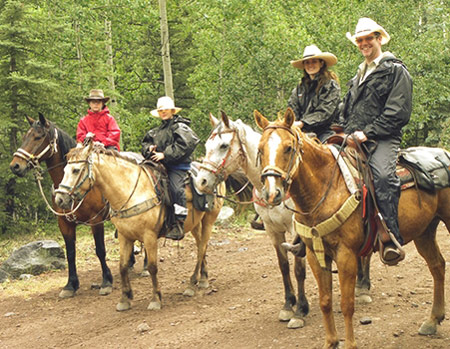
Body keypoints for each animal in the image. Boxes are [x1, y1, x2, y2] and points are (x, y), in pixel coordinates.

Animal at [9, 113, 113, 296]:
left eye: (38, 137)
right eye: (24, 137)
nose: (15, 166)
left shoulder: (96, 220)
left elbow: (100, 249)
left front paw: (106, 281)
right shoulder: (64, 223)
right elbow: (70, 253)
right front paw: (70, 285)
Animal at [54, 140, 227, 308]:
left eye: (76, 170)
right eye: (64, 170)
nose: (60, 199)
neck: (131, 192)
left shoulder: (149, 236)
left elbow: (152, 267)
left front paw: (156, 299)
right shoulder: (124, 236)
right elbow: (123, 266)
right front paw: (125, 299)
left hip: (209, 220)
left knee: (202, 248)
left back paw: (192, 284)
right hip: (195, 223)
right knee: (201, 247)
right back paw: (202, 279)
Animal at [255, 107, 450, 346]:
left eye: (288, 148)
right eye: (260, 149)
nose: (271, 193)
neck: (326, 189)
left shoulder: (346, 254)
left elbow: (347, 304)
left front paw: (349, 344)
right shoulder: (314, 254)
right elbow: (325, 301)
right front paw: (330, 342)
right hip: (425, 231)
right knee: (437, 265)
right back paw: (432, 321)